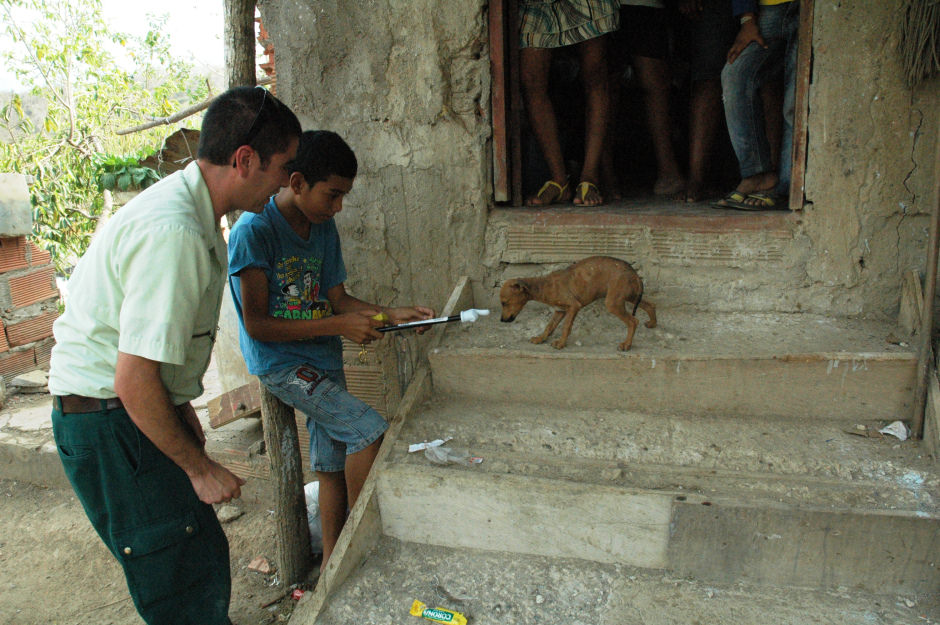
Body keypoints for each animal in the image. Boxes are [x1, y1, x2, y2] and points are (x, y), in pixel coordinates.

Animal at [500, 255, 652, 352]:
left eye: (504, 302)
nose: (502, 320)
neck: (544, 286)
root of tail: (634, 273)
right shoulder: (559, 310)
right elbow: (549, 327)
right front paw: (540, 339)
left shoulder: (573, 306)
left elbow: (566, 326)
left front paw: (561, 343)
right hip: (628, 296)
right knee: (650, 305)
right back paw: (652, 324)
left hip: (613, 302)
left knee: (633, 321)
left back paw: (627, 344)